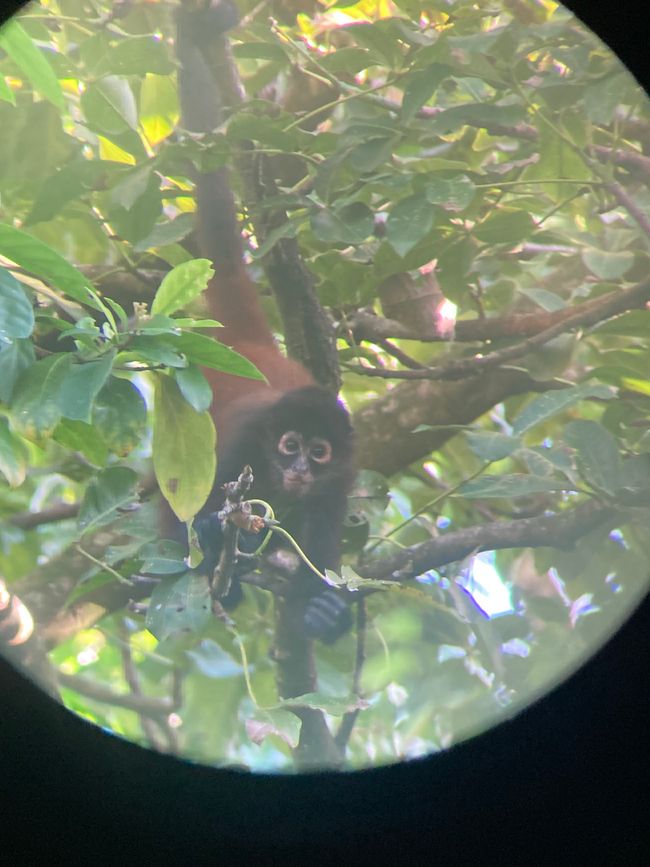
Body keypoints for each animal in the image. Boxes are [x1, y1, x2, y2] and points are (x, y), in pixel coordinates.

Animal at [173, 1, 355, 643]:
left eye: (318, 453)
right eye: (288, 446)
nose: (298, 468)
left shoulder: (342, 477)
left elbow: (321, 550)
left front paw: (323, 610)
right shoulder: (241, 445)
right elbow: (182, 514)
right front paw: (208, 543)